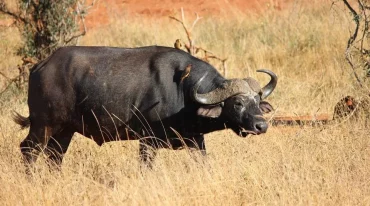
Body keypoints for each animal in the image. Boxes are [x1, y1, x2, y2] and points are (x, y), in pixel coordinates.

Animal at [13, 45, 276, 167]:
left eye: (257, 101)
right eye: (238, 103)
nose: (261, 126)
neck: (183, 93)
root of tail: (40, 66)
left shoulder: (195, 140)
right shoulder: (147, 142)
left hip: (64, 130)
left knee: (54, 156)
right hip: (43, 125)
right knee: (29, 150)